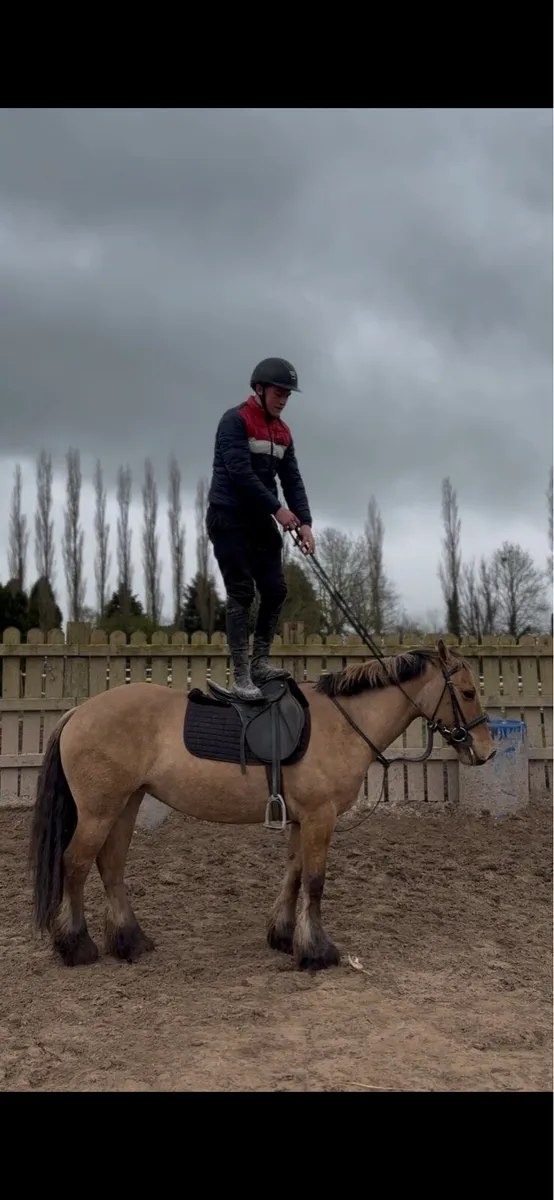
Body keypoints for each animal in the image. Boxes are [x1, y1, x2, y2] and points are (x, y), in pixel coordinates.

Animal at [28, 637, 495, 972]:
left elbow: (293, 875)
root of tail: (78, 712)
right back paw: (76, 946)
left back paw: (130, 942)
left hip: (126, 804)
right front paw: (317, 951)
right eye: (469, 691)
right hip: (99, 811)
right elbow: (315, 882)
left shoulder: (302, 819)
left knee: (111, 866)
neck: (343, 723)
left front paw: (285, 937)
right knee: (75, 864)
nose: (486, 751)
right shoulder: (320, 817)